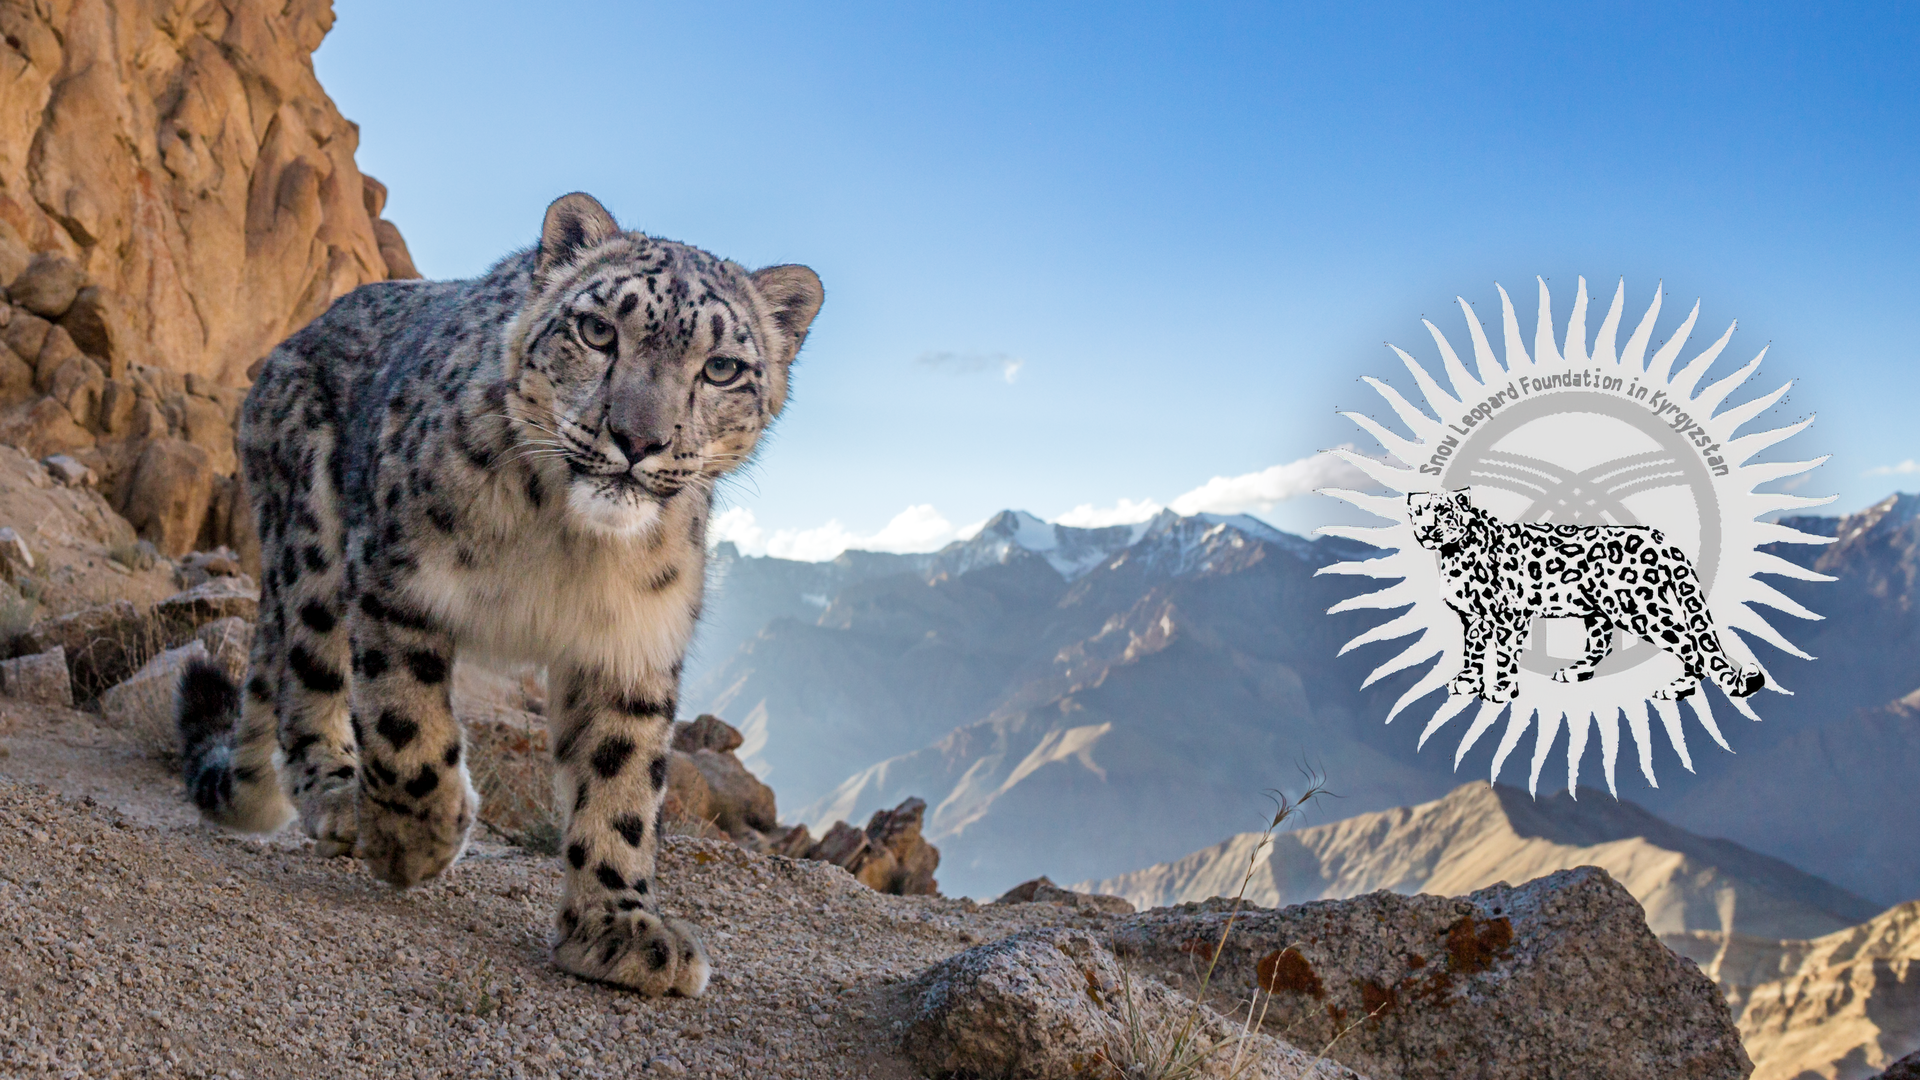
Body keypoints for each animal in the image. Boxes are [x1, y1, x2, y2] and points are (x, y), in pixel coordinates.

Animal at [173, 192, 823, 997]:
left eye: (724, 368)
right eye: (597, 330)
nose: (637, 440)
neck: (570, 544)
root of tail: (287, 348)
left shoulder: (633, 641)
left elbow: (621, 782)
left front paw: (619, 928)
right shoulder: (398, 579)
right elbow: (406, 727)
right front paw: (414, 842)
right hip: (312, 545)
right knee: (307, 675)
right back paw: (339, 798)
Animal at [1406, 488, 1765, 704]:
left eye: (1443, 512)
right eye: (1419, 512)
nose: (1427, 529)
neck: (1452, 555)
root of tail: (1662, 539)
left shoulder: (1509, 616)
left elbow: (1505, 655)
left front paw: (1501, 691)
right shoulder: (1473, 618)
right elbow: (1473, 652)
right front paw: (1466, 681)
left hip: (1640, 610)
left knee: (1692, 645)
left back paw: (1676, 689)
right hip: (1598, 611)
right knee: (1602, 644)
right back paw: (1574, 671)